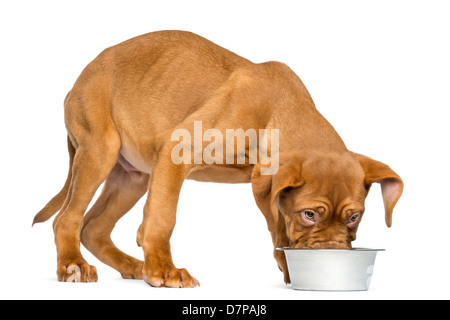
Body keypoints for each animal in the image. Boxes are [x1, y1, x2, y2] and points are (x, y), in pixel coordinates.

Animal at [33, 31, 402, 288]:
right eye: (309, 214)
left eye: (354, 217)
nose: (330, 253)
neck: (278, 109)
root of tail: (77, 81)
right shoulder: (176, 151)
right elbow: (162, 218)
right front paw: (164, 270)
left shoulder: (265, 188)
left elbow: (278, 230)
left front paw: (287, 269)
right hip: (101, 150)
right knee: (67, 219)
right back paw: (73, 266)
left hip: (133, 176)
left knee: (93, 227)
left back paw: (131, 266)